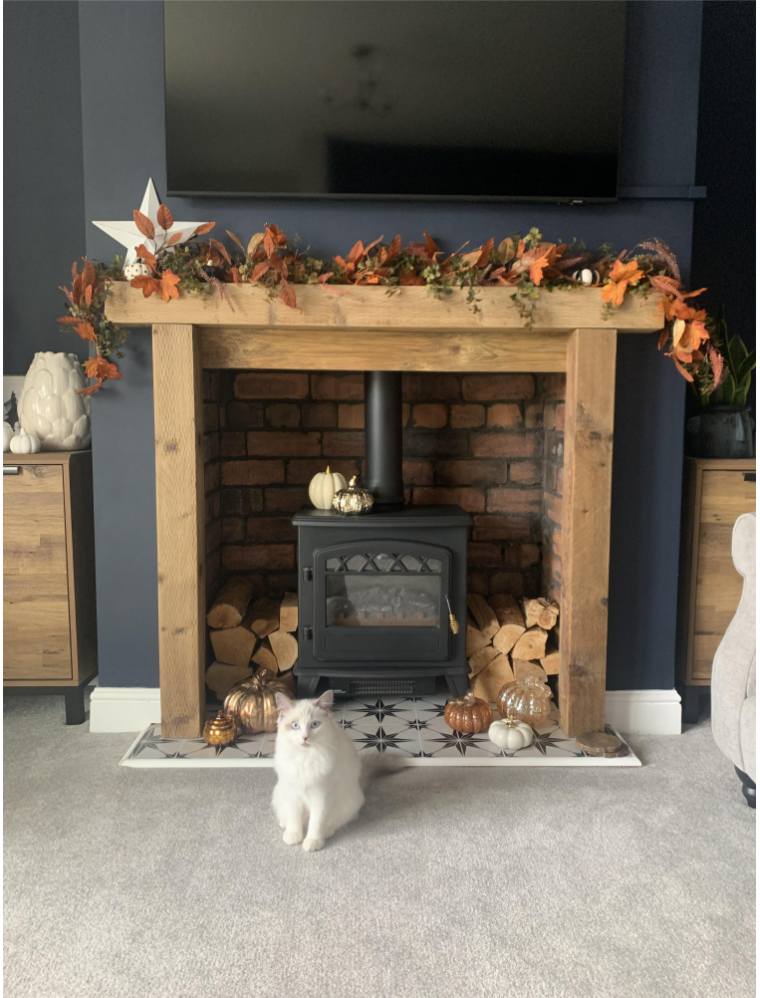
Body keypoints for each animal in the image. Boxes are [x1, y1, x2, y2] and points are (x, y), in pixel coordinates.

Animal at [274, 696, 366, 852]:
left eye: (315, 725)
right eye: (295, 725)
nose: (305, 737)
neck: (304, 757)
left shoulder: (321, 796)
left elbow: (316, 822)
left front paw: (313, 842)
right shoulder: (293, 793)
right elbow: (294, 817)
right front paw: (294, 836)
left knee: (336, 821)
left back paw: (327, 832)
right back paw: (284, 825)